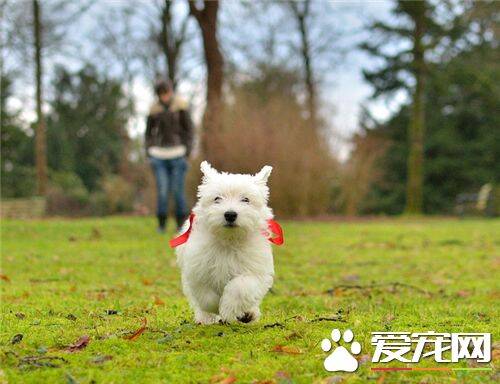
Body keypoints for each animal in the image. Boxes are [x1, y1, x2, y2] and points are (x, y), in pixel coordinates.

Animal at [173, 161, 282, 324]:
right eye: (217, 198)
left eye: (245, 199)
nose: (230, 214)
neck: (228, 240)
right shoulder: (198, 270)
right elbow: (206, 296)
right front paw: (216, 308)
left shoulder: (253, 270)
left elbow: (240, 287)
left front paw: (229, 308)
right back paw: (204, 318)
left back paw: (248, 313)